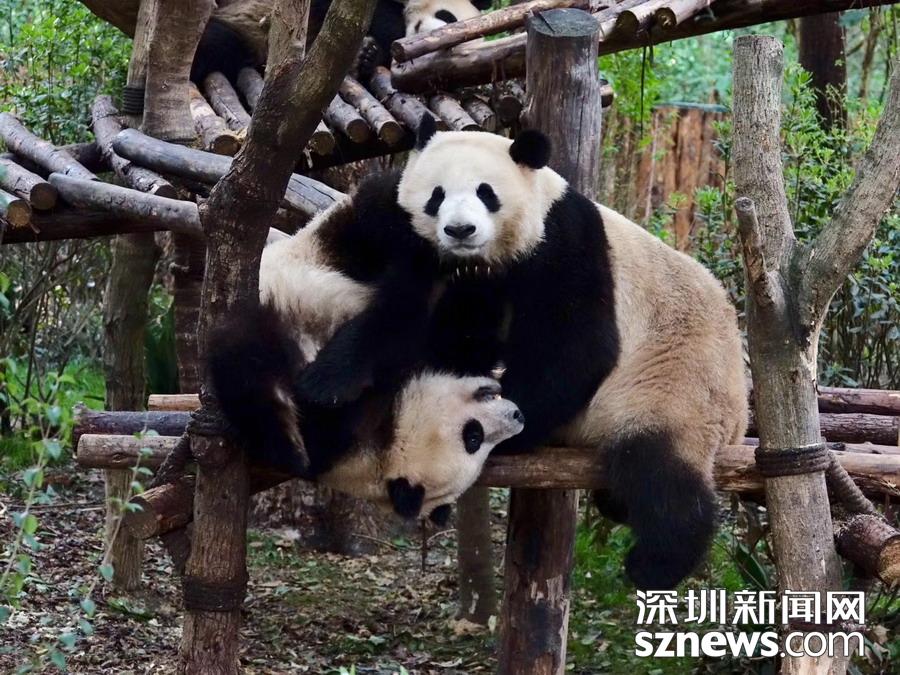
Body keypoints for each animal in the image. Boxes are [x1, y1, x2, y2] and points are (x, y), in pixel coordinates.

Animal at [299, 118, 749, 589]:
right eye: (436, 195)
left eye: (486, 192)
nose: (460, 230)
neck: (489, 258)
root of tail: (739, 418)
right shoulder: (444, 267)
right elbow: (413, 323)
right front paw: (329, 384)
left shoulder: (564, 242)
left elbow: (578, 346)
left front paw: (508, 428)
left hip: (672, 384)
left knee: (661, 473)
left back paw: (656, 561)